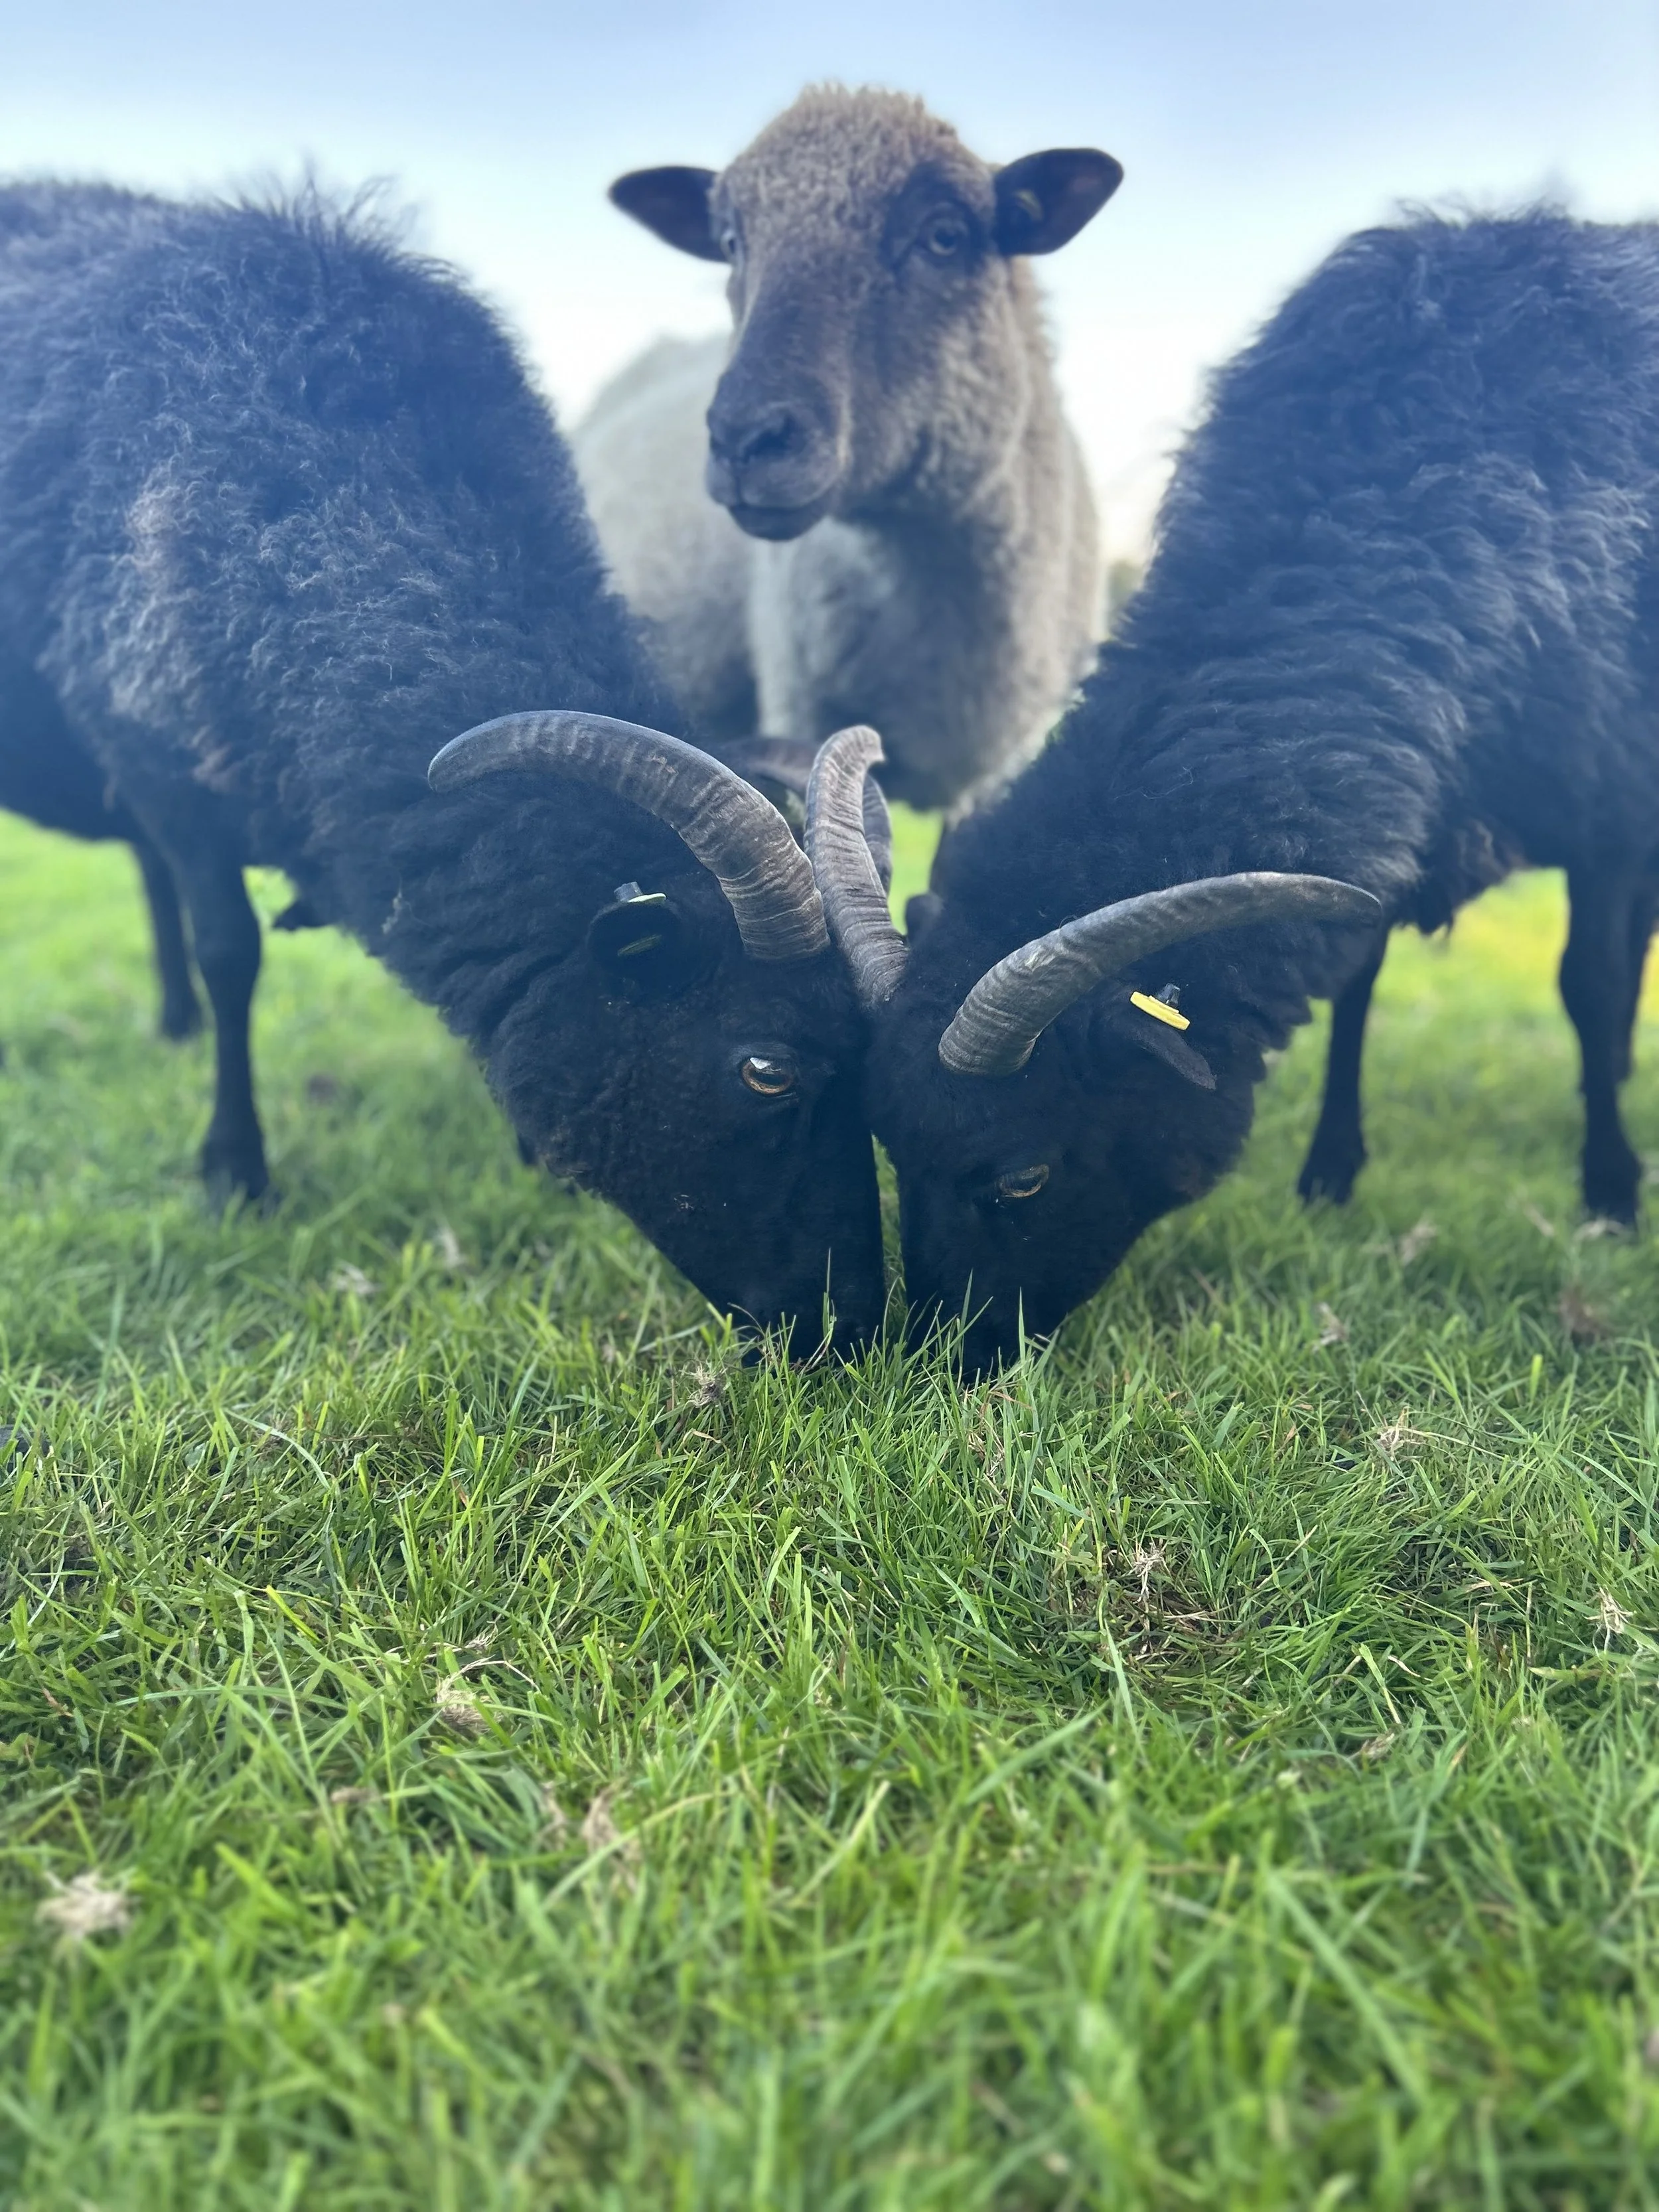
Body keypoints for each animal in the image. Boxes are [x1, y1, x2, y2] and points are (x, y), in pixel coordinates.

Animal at [804, 211, 1659, 1370]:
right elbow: (1357, 984)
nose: (940, 1360)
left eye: (1024, 1175)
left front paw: (1610, 1193)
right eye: (888, 1147)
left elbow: (1588, 983)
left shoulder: (1610, 808)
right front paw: (1330, 1175)